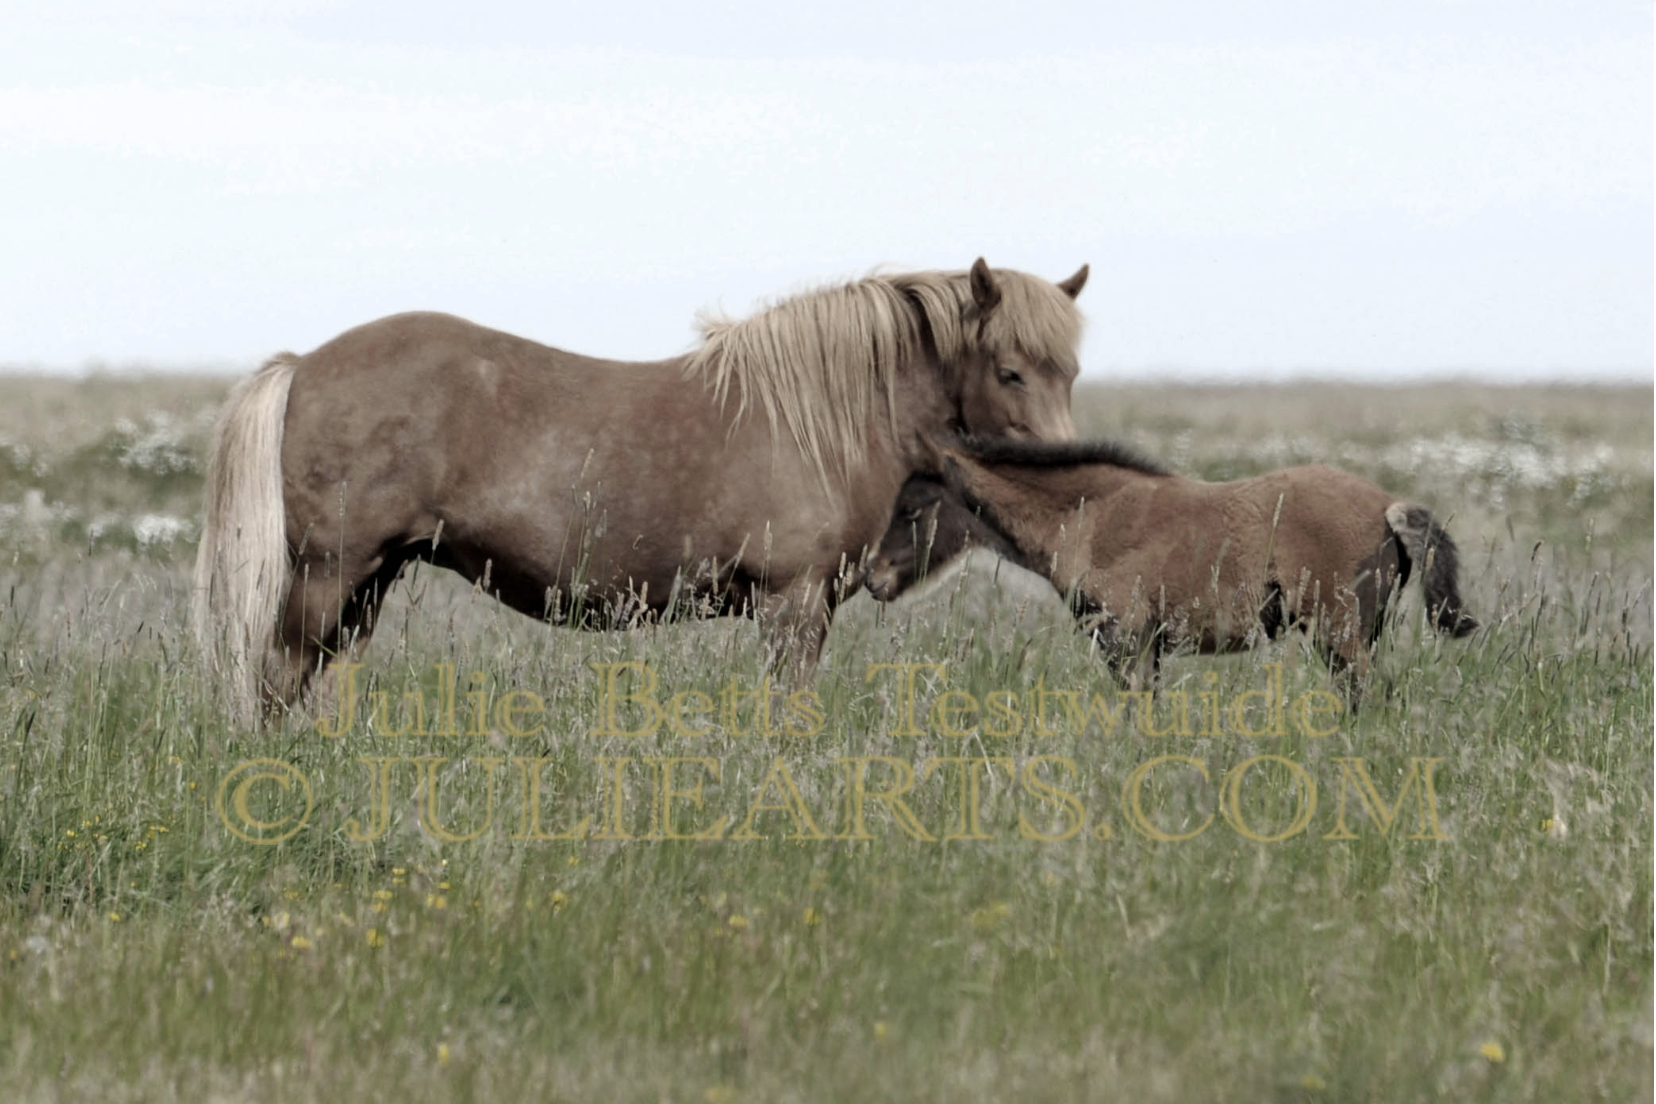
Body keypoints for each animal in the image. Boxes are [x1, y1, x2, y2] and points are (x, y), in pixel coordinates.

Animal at [193, 259, 1090, 721]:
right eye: (1010, 370)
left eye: (1071, 371)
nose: (1072, 480)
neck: (820, 416)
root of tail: (304, 365)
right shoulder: (794, 604)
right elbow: (789, 716)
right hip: (328, 574)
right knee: (278, 679)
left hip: (371, 581)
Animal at [863, 437, 1478, 705]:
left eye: (912, 510)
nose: (871, 578)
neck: (1088, 517)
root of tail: (1388, 505)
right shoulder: (1148, 646)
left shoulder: (1124, 637)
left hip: (1340, 629)